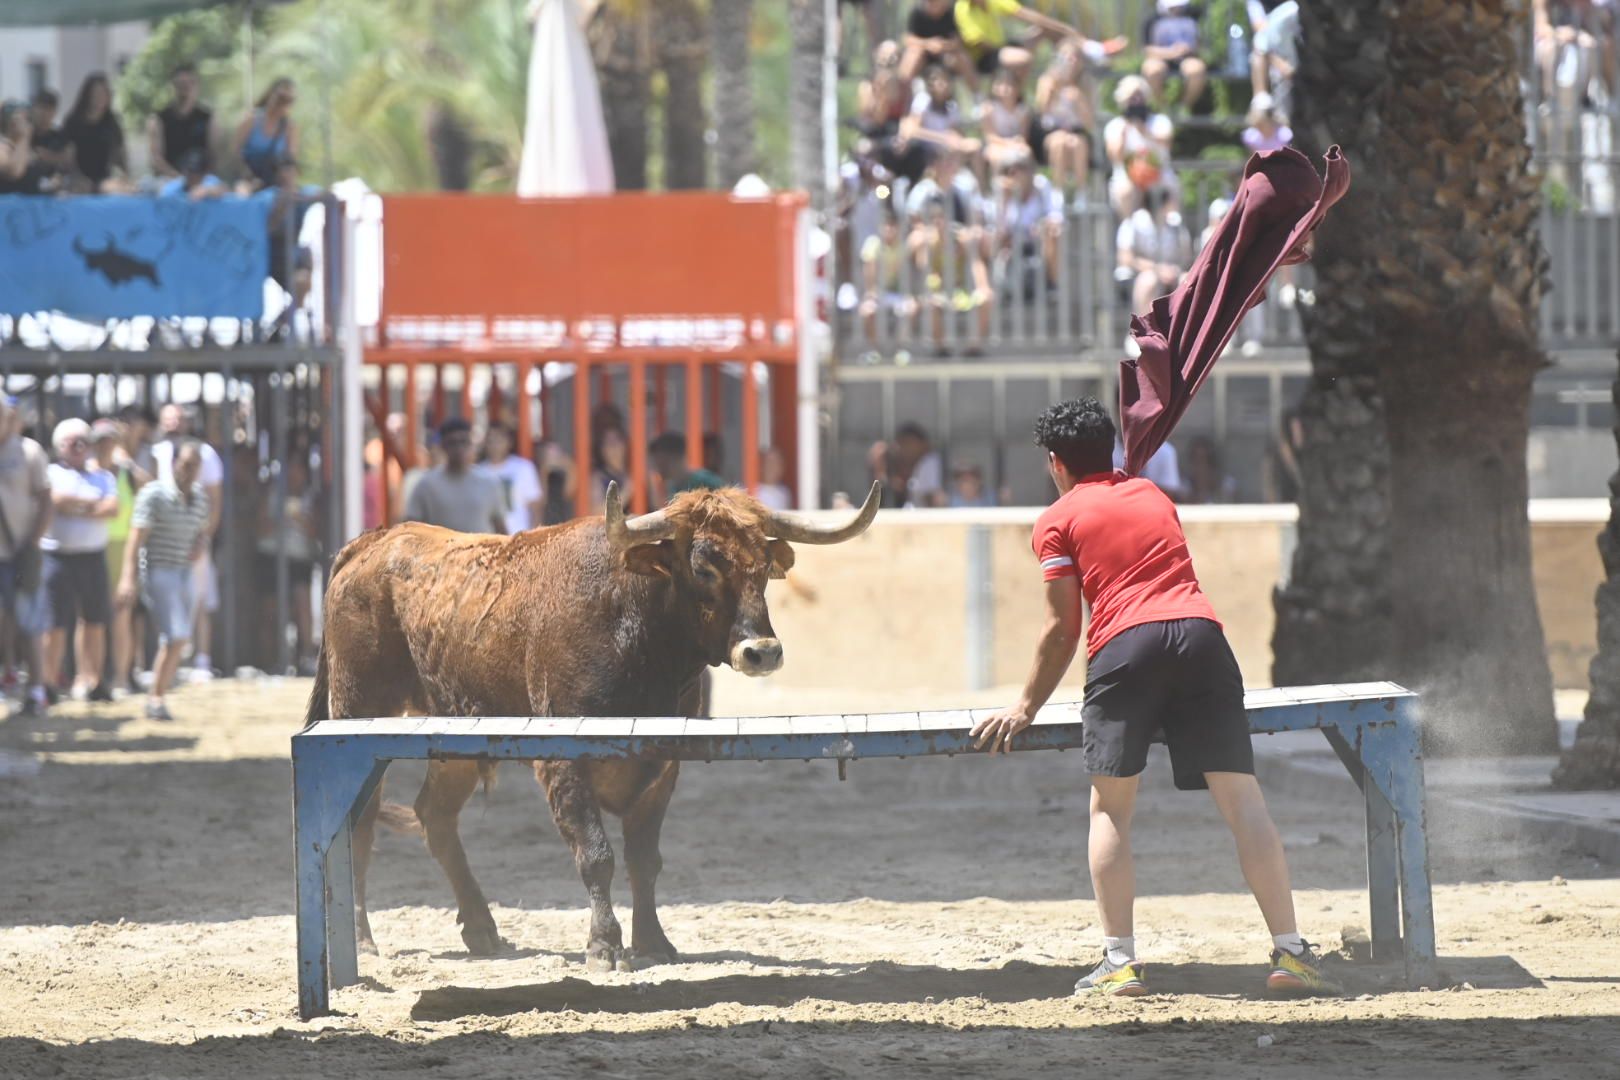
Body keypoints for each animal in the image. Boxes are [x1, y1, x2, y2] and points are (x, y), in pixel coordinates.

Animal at [309, 482, 881, 971]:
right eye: (704, 567)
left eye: (762, 567)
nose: (761, 652)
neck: (635, 628)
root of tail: (371, 543)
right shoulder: (563, 761)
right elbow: (596, 855)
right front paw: (604, 946)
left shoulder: (663, 766)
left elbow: (644, 859)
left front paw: (653, 941)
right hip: (359, 710)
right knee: (360, 822)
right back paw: (363, 939)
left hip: (454, 729)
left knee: (436, 815)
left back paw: (482, 929)